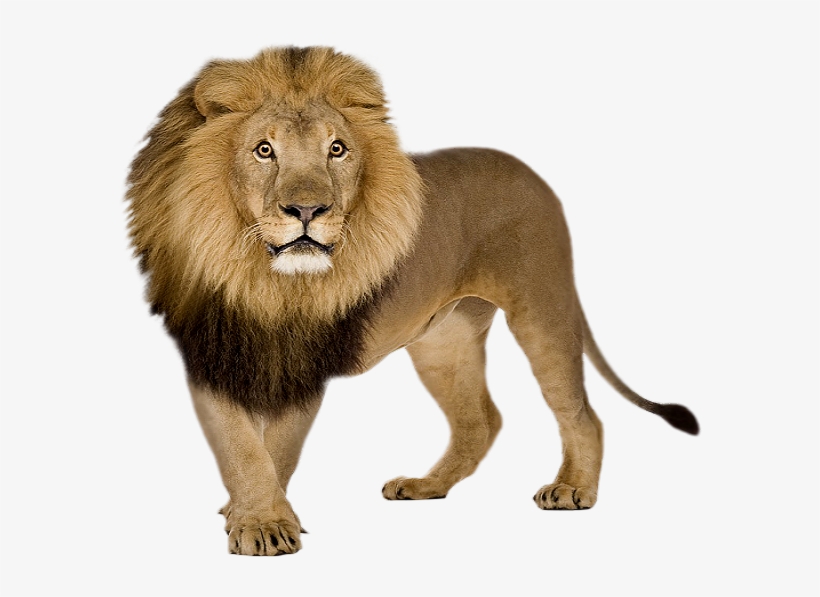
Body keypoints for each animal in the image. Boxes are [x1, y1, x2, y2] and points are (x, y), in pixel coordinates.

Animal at [127, 46, 698, 556]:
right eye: (263, 150)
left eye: (337, 149)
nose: (308, 211)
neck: (263, 279)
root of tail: (531, 174)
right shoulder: (209, 354)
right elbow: (242, 448)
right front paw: (255, 517)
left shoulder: (309, 362)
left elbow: (278, 447)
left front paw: (266, 523)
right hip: (443, 340)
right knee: (480, 421)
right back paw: (428, 486)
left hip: (542, 307)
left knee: (580, 412)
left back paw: (574, 488)